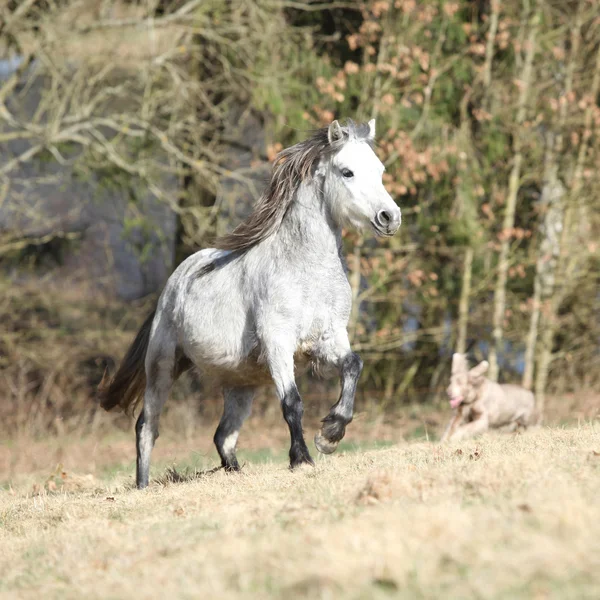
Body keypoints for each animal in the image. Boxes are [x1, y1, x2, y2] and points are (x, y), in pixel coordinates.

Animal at [98, 118, 400, 488]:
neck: (307, 271)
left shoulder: (329, 337)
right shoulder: (278, 342)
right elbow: (292, 402)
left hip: (241, 385)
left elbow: (353, 365)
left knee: (222, 436)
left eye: (380, 170)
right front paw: (302, 458)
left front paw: (330, 433)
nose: (390, 217)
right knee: (147, 426)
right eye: (347, 172)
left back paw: (234, 472)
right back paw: (142, 485)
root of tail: (174, 282)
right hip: (161, 366)